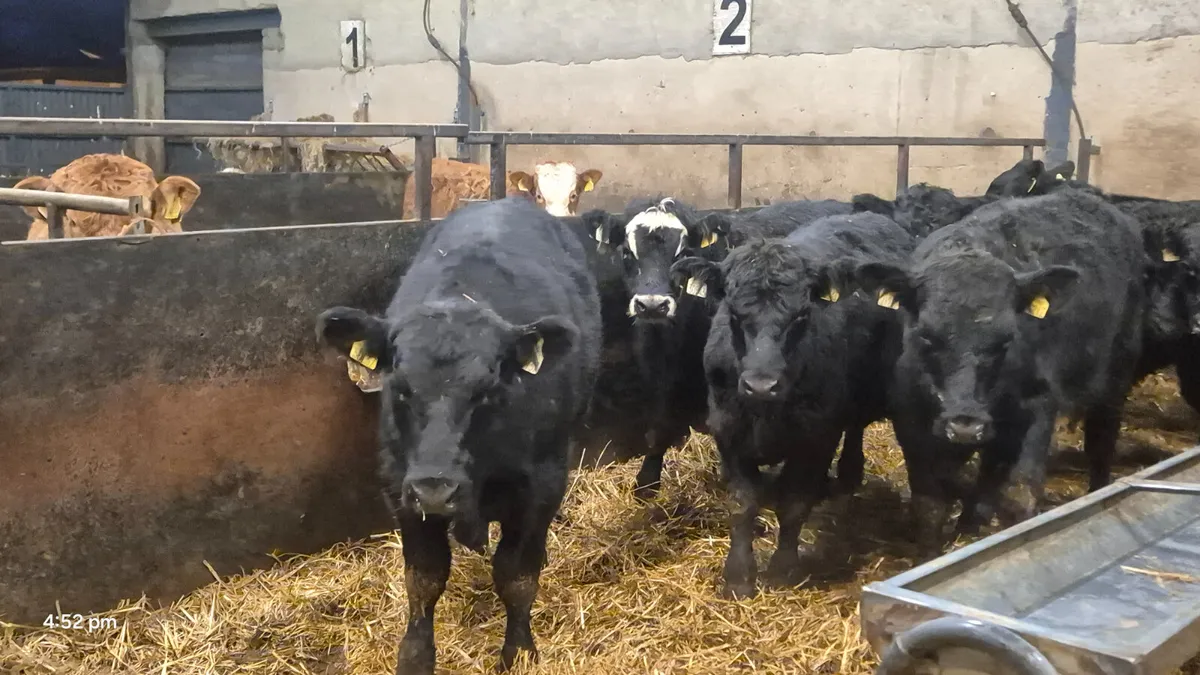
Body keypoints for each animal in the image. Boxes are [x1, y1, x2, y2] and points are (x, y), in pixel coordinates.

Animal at [316, 197, 601, 674]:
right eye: (401, 386)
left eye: (487, 388)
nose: (436, 489)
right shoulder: (400, 484)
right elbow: (424, 578)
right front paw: (415, 656)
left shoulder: (541, 483)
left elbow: (517, 575)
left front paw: (519, 650)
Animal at [668, 212, 914, 599]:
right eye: (734, 314)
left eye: (801, 316)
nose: (761, 385)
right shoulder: (728, 430)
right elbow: (743, 504)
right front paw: (738, 576)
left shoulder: (816, 437)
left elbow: (795, 504)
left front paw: (782, 570)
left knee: (855, 428)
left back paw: (848, 475)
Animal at [855, 189, 1149, 556]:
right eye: (925, 336)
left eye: (1007, 339)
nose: (965, 425)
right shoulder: (911, 421)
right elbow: (929, 505)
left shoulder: (1037, 408)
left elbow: (1019, 495)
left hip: (1116, 376)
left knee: (1101, 441)